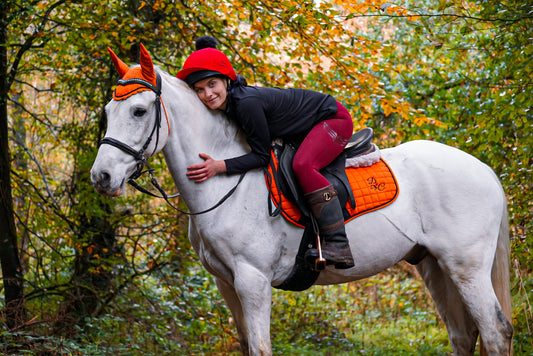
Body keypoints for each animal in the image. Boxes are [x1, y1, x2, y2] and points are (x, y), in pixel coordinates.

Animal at [90, 45, 512, 356]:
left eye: (139, 110)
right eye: (108, 111)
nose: (101, 177)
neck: (225, 184)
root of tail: (484, 170)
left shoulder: (253, 280)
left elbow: (260, 348)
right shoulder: (226, 283)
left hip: (466, 267)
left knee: (495, 332)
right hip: (434, 266)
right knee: (464, 335)